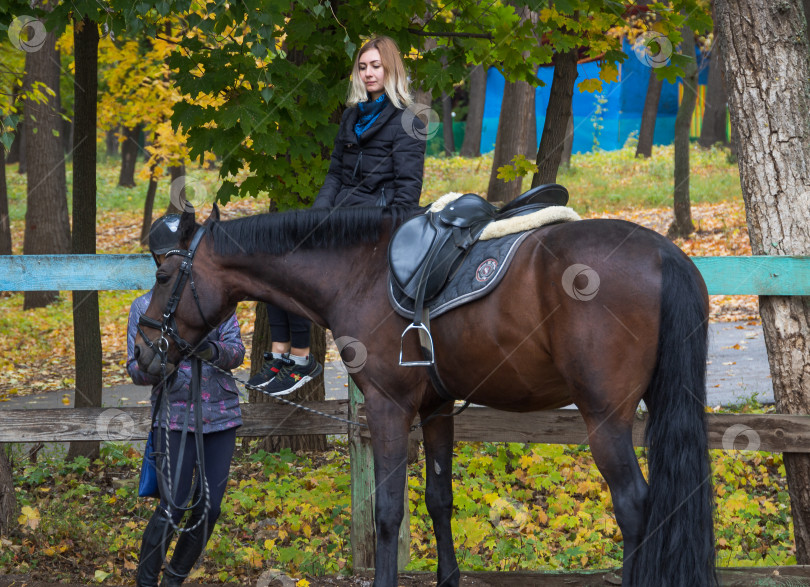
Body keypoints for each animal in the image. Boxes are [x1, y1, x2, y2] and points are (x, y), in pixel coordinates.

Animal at [136, 204, 716, 584]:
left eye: (164, 275)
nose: (143, 353)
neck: (360, 271)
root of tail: (664, 254)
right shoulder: (437, 409)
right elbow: (439, 499)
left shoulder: (387, 407)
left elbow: (389, 510)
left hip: (605, 419)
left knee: (635, 507)